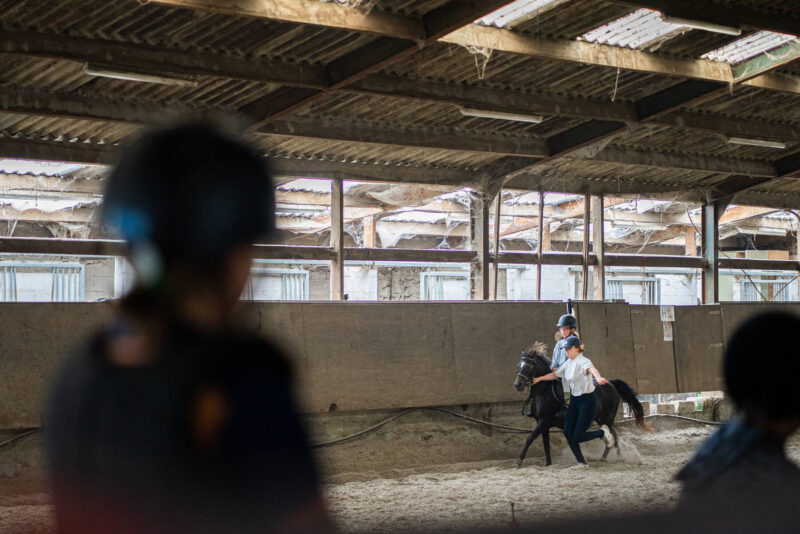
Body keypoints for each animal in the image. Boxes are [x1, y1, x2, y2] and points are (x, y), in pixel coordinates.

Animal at [512, 344, 648, 468]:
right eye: (518, 366)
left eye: (528, 366)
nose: (517, 385)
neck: (544, 392)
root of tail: (610, 382)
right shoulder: (542, 423)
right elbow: (546, 445)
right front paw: (548, 464)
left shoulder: (544, 421)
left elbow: (529, 439)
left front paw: (518, 461)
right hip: (600, 418)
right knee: (611, 433)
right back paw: (607, 456)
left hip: (608, 418)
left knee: (614, 434)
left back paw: (617, 457)